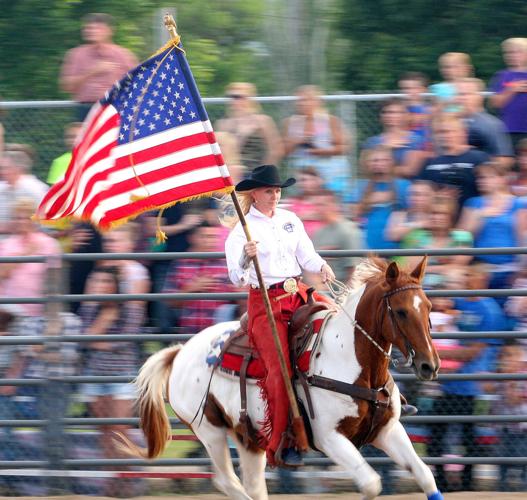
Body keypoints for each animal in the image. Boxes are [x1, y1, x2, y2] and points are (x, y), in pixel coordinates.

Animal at [121, 258, 444, 500]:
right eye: (400, 312)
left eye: (428, 307)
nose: (429, 365)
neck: (351, 363)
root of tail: (180, 351)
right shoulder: (329, 438)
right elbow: (371, 483)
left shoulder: (387, 430)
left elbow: (425, 476)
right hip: (209, 430)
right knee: (227, 482)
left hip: (249, 436)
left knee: (253, 485)